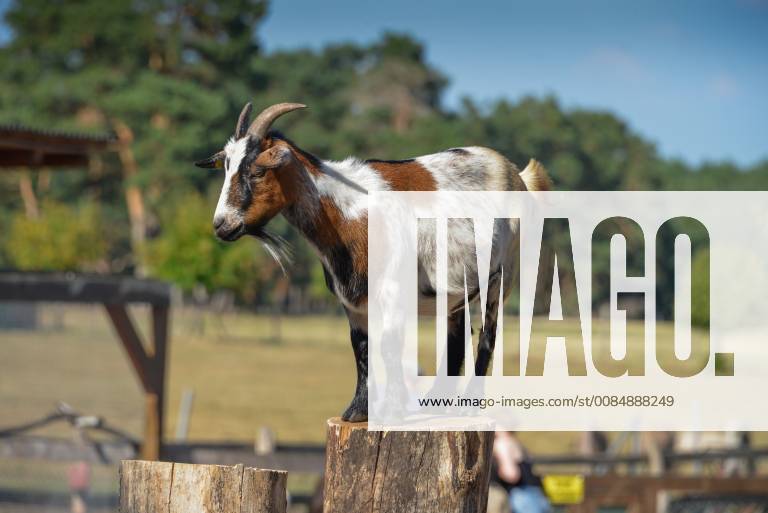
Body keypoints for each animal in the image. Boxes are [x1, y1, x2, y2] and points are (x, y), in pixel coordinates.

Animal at [195, 101, 548, 420]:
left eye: (257, 171)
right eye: (225, 169)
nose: (222, 225)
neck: (347, 213)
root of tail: (518, 175)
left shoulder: (391, 289)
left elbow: (389, 345)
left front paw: (391, 412)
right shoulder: (352, 301)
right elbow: (361, 347)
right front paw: (358, 411)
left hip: (504, 275)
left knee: (489, 333)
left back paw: (468, 406)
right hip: (455, 289)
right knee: (457, 334)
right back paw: (438, 401)